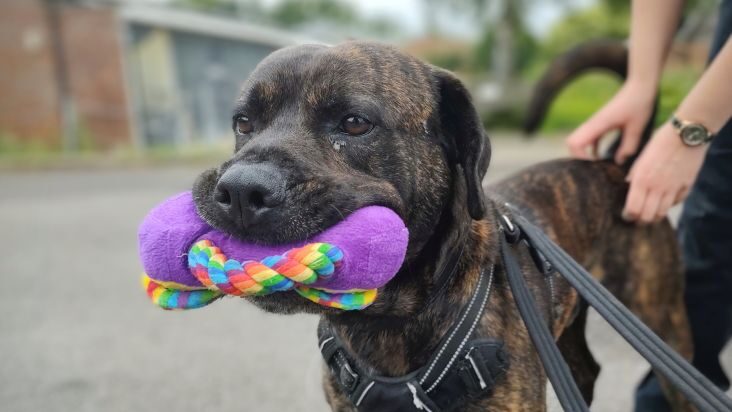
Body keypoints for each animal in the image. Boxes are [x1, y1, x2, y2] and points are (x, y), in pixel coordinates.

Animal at [190, 41, 692, 408]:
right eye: (243, 122)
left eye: (354, 123)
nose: (241, 191)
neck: (386, 325)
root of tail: (616, 165)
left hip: (665, 326)